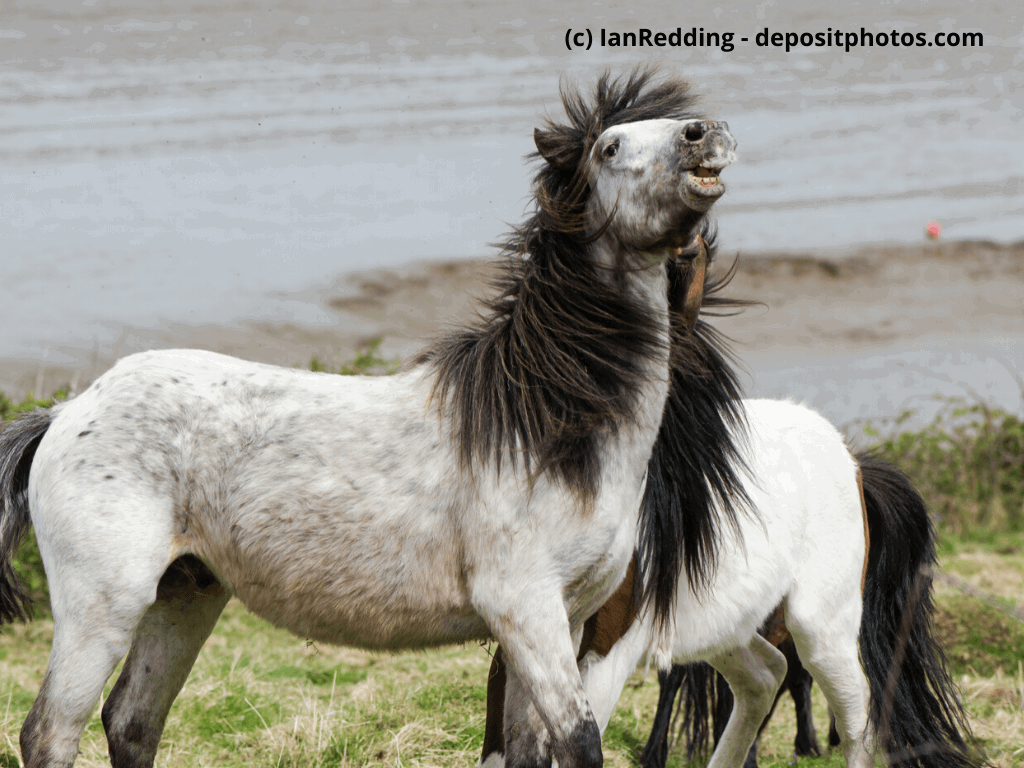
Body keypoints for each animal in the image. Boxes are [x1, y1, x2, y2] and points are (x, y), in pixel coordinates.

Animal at [0, 68, 741, 768]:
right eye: (611, 147)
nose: (704, 134)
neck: (541, 430)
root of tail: (65, 413)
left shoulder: (568, 619)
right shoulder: (527, 614)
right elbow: (580, 742)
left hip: (187, 593)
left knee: (132, 721)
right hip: (103, 608)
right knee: (50, 732)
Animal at [481, 398, 979, 768]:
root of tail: (851, 458)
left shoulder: (605, 653)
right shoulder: (522, 650)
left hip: (819, 629)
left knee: (855, 709)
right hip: (724, 628)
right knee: (764, 676)